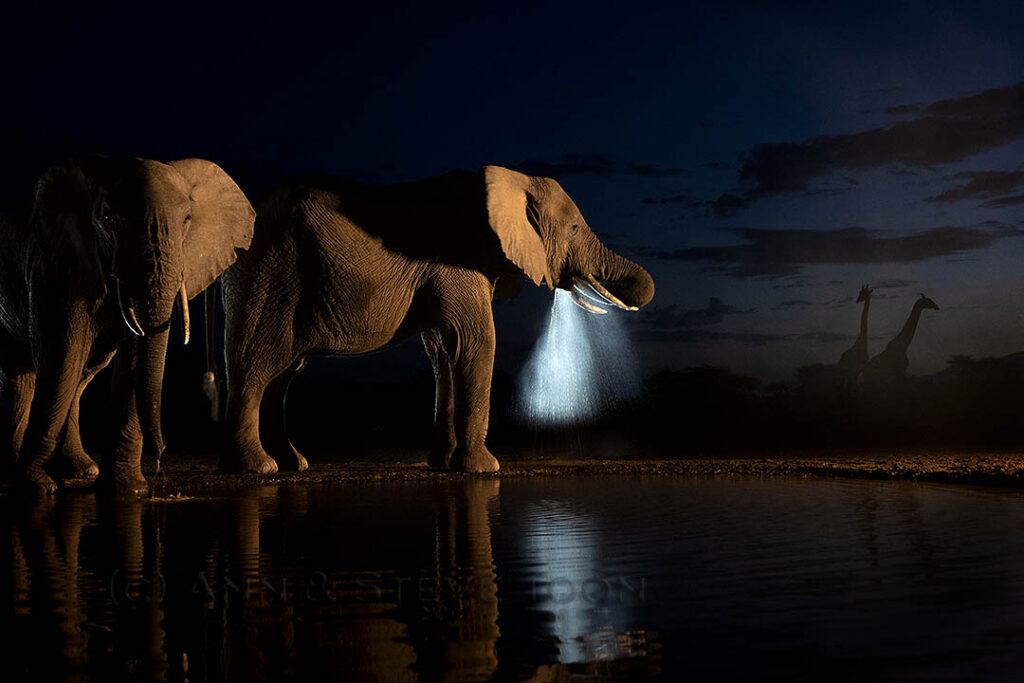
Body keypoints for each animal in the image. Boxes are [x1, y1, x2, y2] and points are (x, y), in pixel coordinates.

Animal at [0, 156, 255, 495]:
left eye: (187, 219)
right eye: (108, 218)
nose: (160, 460)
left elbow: (131, 357)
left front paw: (127, 490)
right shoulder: (55, 263)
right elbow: (63, 356)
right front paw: (36, 486)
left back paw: (79, 471)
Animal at [218, 165, 654, 474]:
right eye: (575, 228)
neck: (510, 180)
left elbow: (444, 352)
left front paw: (443, 464)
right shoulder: (455, 262)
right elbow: (475, 341)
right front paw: (484, 469)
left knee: (282, 374)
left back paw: (293, 465)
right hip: (271, 272)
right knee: (258, 362)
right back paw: (258, 468)